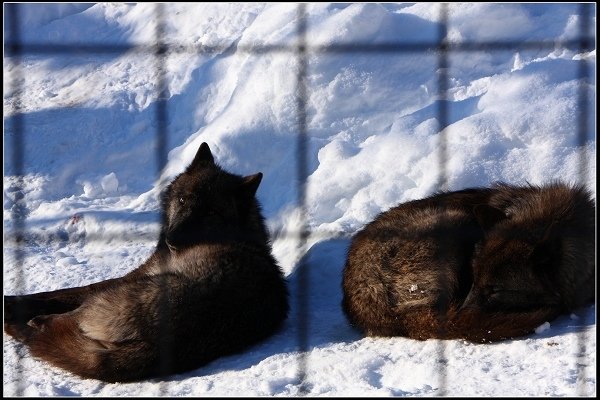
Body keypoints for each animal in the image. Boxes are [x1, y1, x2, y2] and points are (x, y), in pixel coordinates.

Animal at [2, 142, 288, 382]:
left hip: (114, 295)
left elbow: (66, 293)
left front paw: (14, 305)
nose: (172, 238)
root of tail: (160, 346)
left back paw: (28, 325)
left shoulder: (132, 276)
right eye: (182, 199)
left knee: (65, 320)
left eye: (210, 213)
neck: (241, 234)